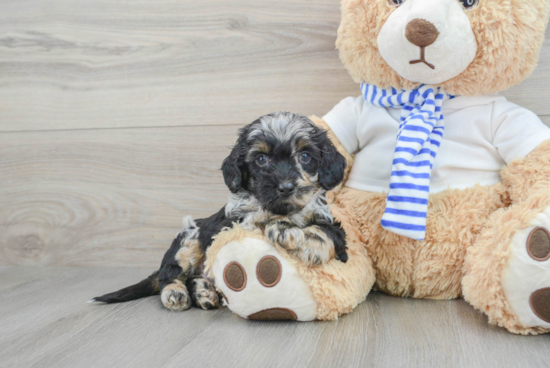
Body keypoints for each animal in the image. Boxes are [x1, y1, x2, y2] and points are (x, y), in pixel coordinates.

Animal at [92, 111, 348, 310]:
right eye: (261, 159)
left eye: (305, 156)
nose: (285, 187)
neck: (285, 210)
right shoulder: (236, 222)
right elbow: (260, 217)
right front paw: (284, 228)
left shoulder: (328, 221)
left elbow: (328, 233)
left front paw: (306, 242)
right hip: (188, 240)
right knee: (170, 275)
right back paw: (177, 293)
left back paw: (202, 291)